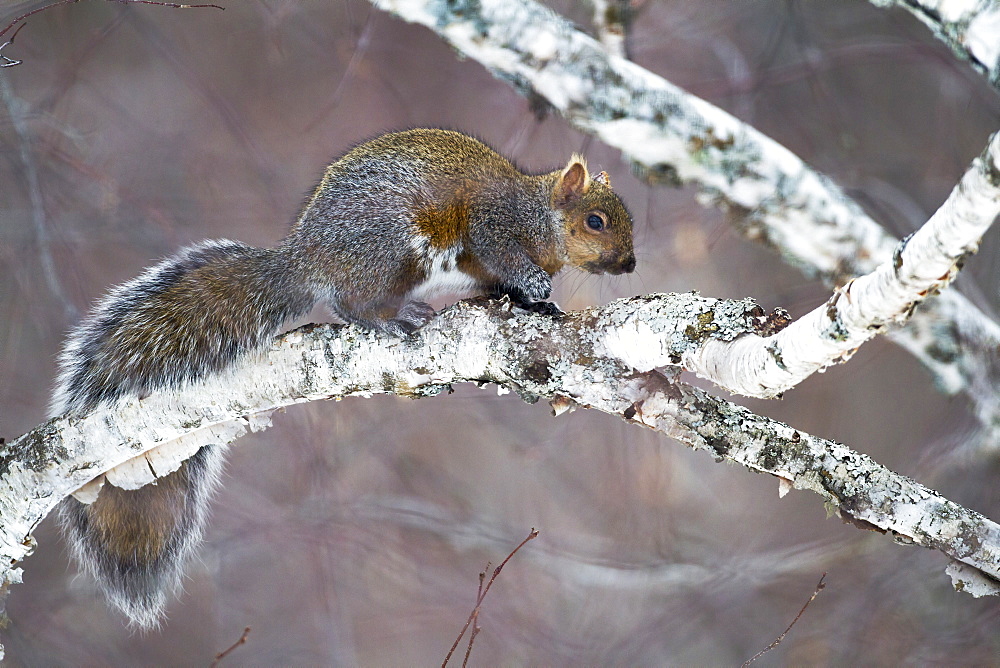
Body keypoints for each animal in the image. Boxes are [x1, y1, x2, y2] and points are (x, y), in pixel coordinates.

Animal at [50, 126, 636, 632]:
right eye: (596, 221)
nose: (630, 264)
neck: (541, 218)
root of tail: (306, 258)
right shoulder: (494, 225)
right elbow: (501, 255)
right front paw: (536, 287)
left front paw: (539, 303)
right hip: (389, 249)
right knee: (350, 304)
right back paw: (393, 317)